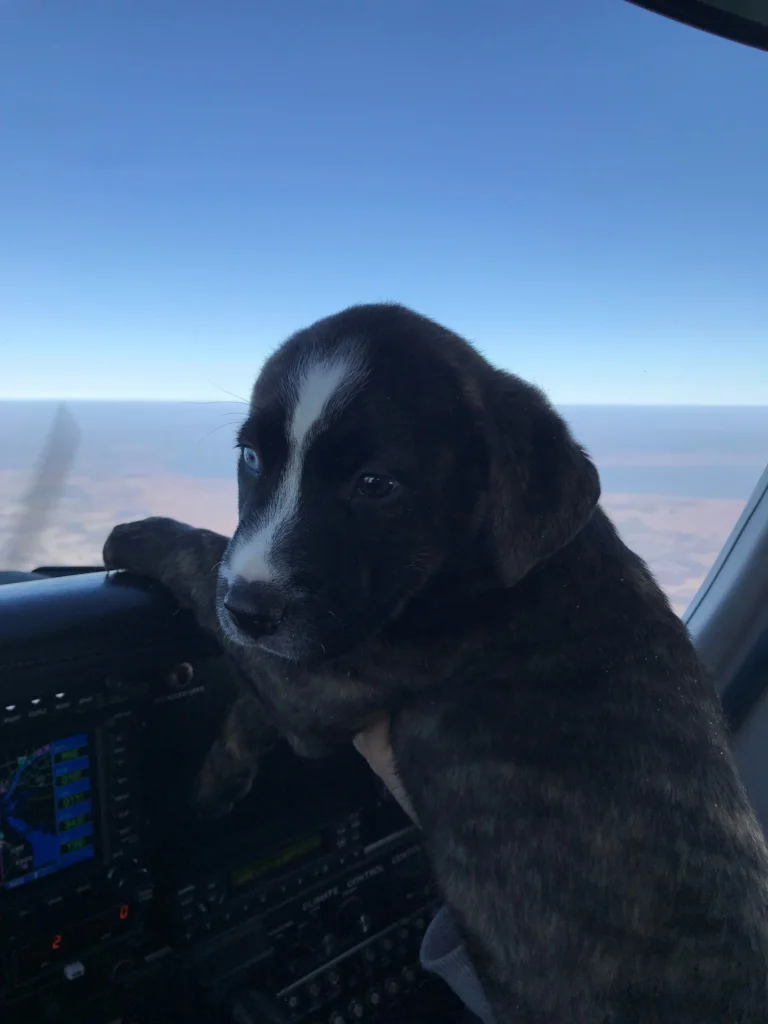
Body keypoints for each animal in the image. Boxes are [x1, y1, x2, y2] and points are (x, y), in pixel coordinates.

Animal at [105, 303, 768, 1024]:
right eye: (251, 458)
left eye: (376, 485)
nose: (248, 607)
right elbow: (245, 708)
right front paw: (214, 785)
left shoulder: (319, 676)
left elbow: (201, 559)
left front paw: (134, 535)